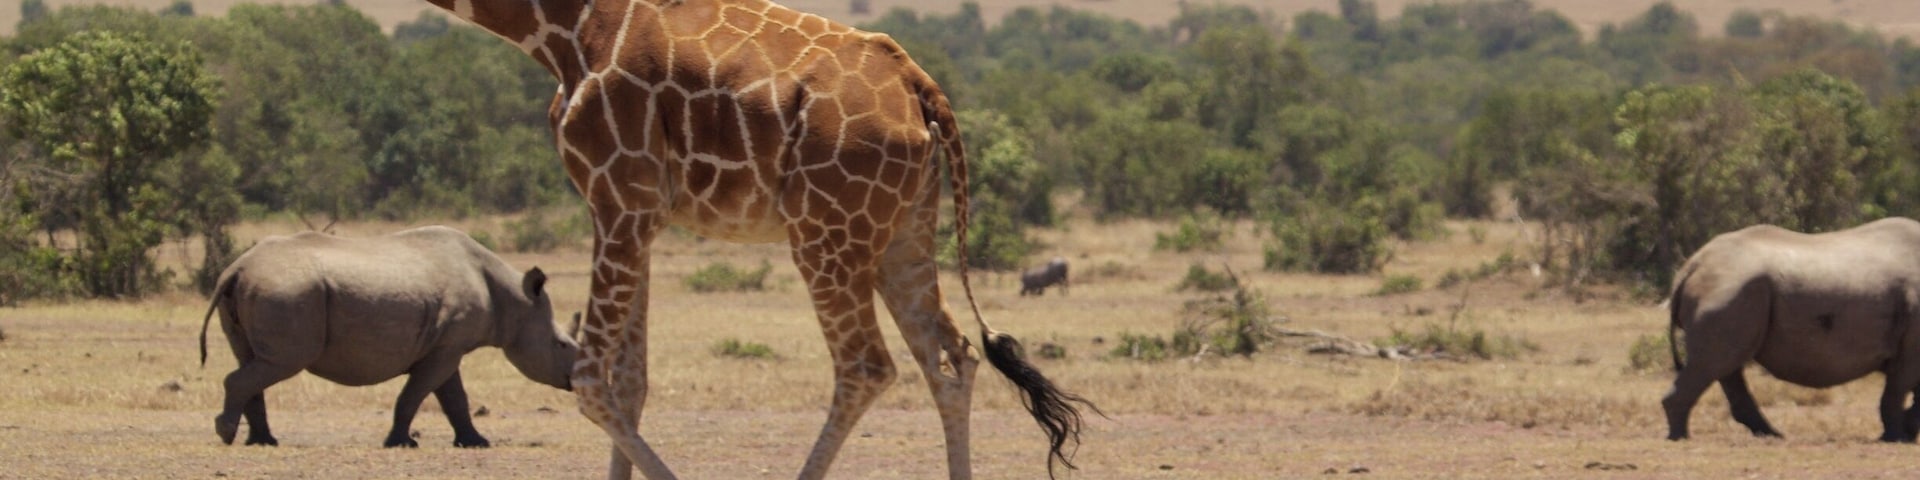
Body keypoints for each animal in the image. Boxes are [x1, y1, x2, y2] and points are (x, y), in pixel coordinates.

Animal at [197, 226, 578, 448]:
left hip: (267, 288)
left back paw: (263, 441)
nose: (576, 381)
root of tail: (236, 268)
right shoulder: (447, 346)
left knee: (253, 360)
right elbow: (416, 394)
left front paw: (475, 442)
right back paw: (228, 434)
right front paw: (401, 443)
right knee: (280, 362)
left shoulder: (445, 345)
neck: (514, 298)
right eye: (562, 345)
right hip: (287, 290)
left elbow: (454, 397)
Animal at [412, 0, 1096, 478]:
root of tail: (922, 91)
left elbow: (590, 381)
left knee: (867, 366)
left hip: (826, 230)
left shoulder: (618, 196)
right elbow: (630, 382)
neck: (560, 26)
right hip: (905, 229)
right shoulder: (638, 212)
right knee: (951, 357)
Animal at [1664, 217, 1920, 442]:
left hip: (1730, 291)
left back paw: (1771, 435)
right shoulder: (1911, 347)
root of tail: (1690, 267)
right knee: (1715, 362)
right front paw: (1896, 437)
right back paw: (1681, 437)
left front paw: (1906, 432)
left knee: (1725, 365)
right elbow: (1898, 390)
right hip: (1728, 289)